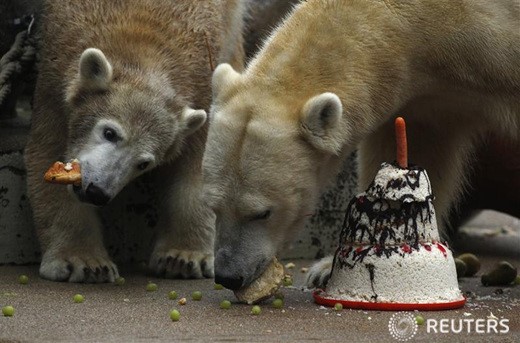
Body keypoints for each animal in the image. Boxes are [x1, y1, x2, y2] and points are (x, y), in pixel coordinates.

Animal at [26, 0, 248, 284]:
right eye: (110, 133)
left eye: (144, 163)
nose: (96, 191)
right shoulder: (55, 80)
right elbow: (47, 152)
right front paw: (84, 263)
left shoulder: (202, 88)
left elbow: (199, 165)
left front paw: (184, 258)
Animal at [203, 0, 520, 292]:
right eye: (213, 207)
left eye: (262, 213)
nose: (228, 276)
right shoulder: (424, 94)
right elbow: (419, 146)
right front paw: (327, 268)